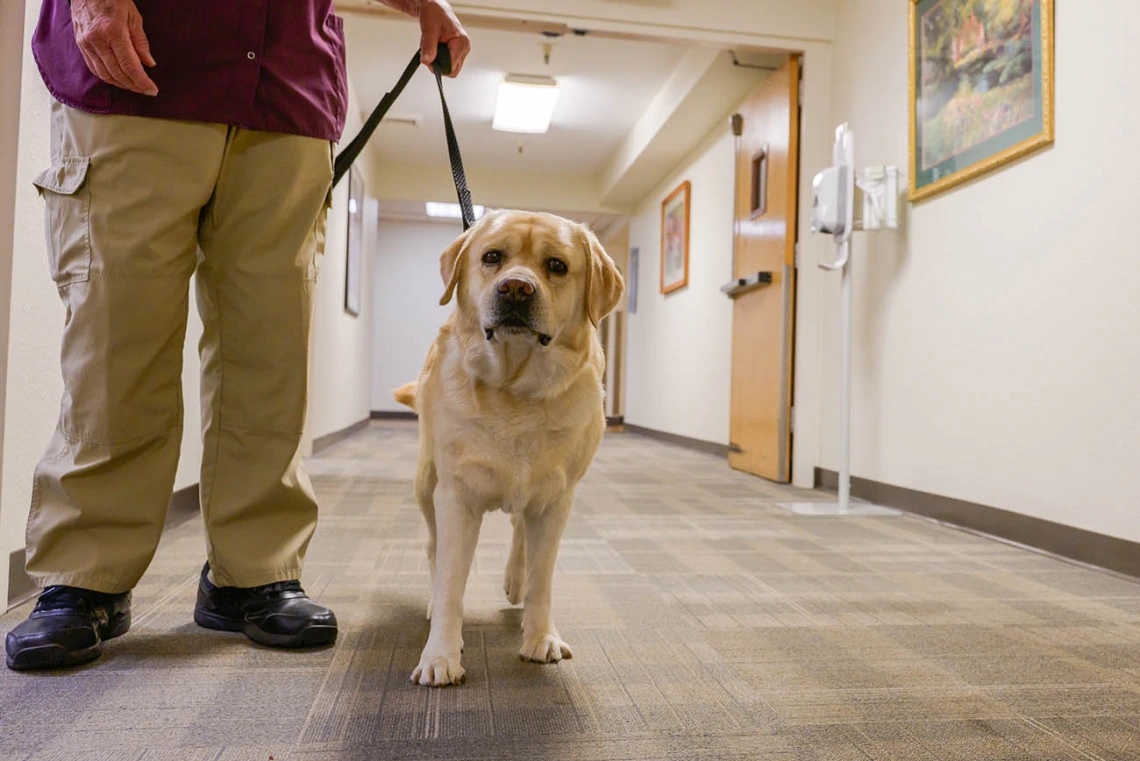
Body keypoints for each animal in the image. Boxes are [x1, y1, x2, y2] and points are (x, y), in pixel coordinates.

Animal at [392, 209, 624, 688]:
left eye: (556, 266)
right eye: (492, 257)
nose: (516, 288)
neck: (516, 389)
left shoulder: (557, 499)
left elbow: (542, 577)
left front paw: (541, 637)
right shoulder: (456, 496)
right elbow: (451, 582)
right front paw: (441, 655)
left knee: (520, 528)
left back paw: (515, 580)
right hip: (426, 483)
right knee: (433, 549)